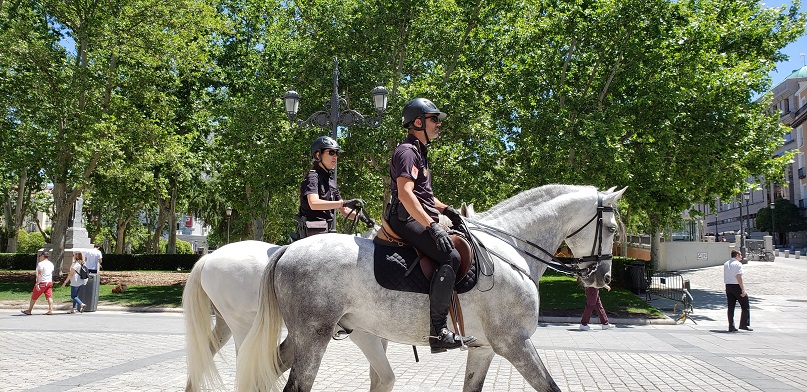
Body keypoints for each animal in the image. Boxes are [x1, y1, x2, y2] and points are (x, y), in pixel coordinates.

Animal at [237, 185, 628, 392]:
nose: (604, 277)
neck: (511, 250)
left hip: (306, 336)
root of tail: (288, 249)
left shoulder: (485, 348)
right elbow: (550, 386)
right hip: (314, 336)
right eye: (610, 228)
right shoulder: (515, 344)